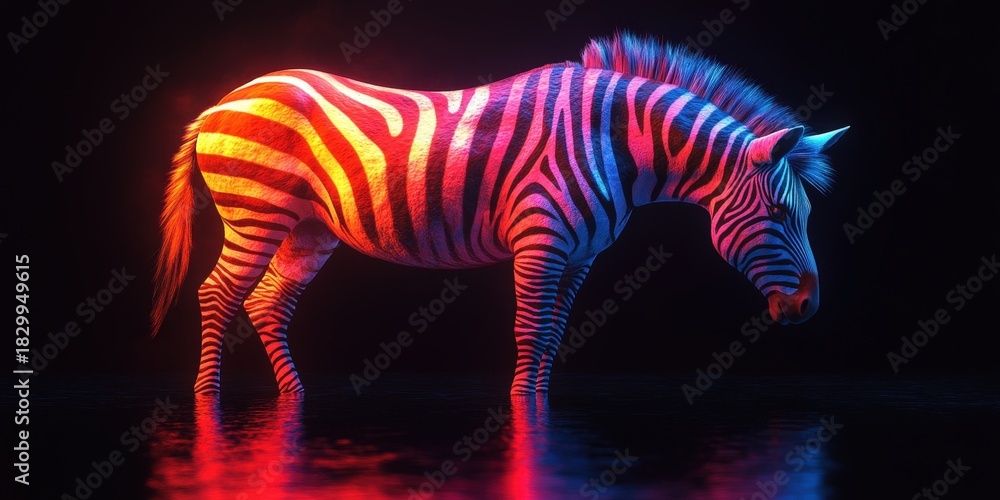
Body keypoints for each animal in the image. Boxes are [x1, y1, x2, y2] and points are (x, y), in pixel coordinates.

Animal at [151, 32, 848, 395]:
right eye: (781, 215)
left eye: (804, 217)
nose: (810, 307)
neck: (616, 142)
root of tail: (222, 101)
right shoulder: (541, 239)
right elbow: (531, 330)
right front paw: (521, 418)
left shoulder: (579, 255)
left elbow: (556, 332)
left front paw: (537, 406)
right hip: (256, 210)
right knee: (218, 293)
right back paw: (208, 403)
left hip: (309, 228)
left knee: (267, 301)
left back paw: (295, 399)